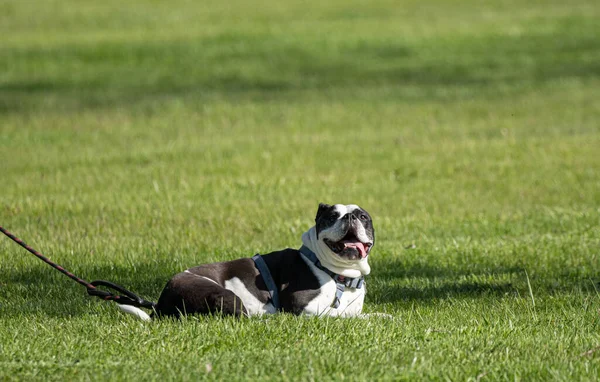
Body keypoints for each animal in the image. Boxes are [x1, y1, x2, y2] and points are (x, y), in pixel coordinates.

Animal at [121, 201, 376, 320]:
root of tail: (161, 303)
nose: (350, 217)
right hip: (223, 294)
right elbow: (341, 315)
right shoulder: (302, 306)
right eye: (332, 216)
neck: (340, 275)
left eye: (363, 217)